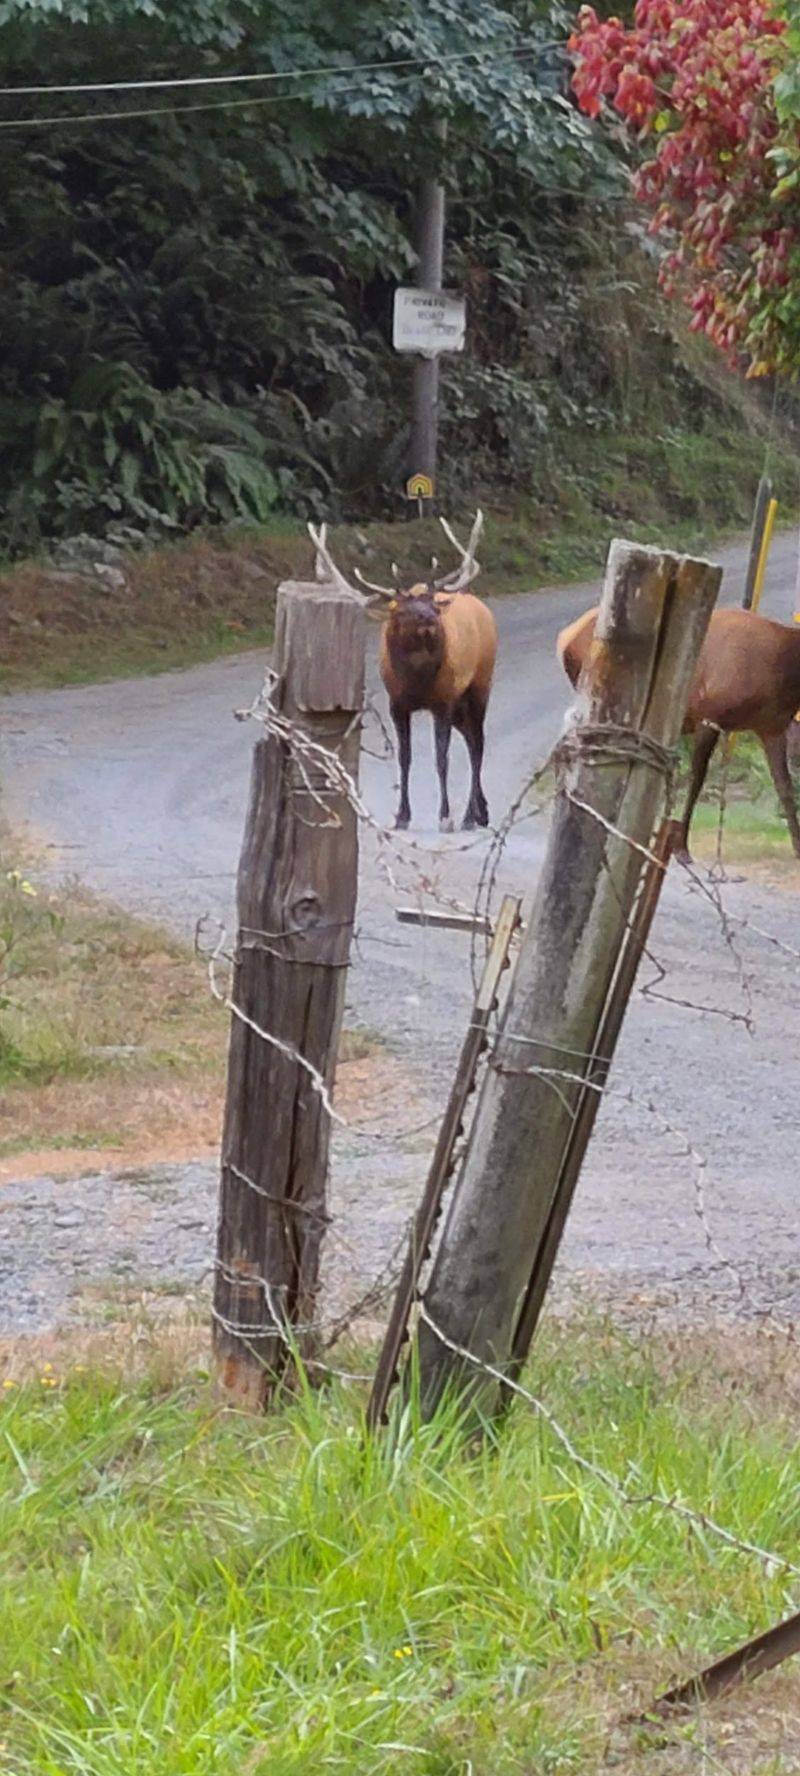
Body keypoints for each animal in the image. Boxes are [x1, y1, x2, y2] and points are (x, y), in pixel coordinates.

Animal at [311, 511, 497, 833]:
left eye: (433, 602)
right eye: (402, 609)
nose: (431, 617)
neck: (416, 681)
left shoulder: (443, 701)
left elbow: (441, 758)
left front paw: (445, 816)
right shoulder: (397, 703)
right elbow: (404, 758)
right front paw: (401, 815)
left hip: (479, 686)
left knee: (478, 745)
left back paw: (469, 816)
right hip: (461, 704)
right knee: (472, 739)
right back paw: (480, 812)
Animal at [556, 602, 800, 860]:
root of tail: (564, 638)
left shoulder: (772, 727)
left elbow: (785, 787)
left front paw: (797, 846)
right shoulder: (708, 716)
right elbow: (696, 779)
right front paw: (681, 846)